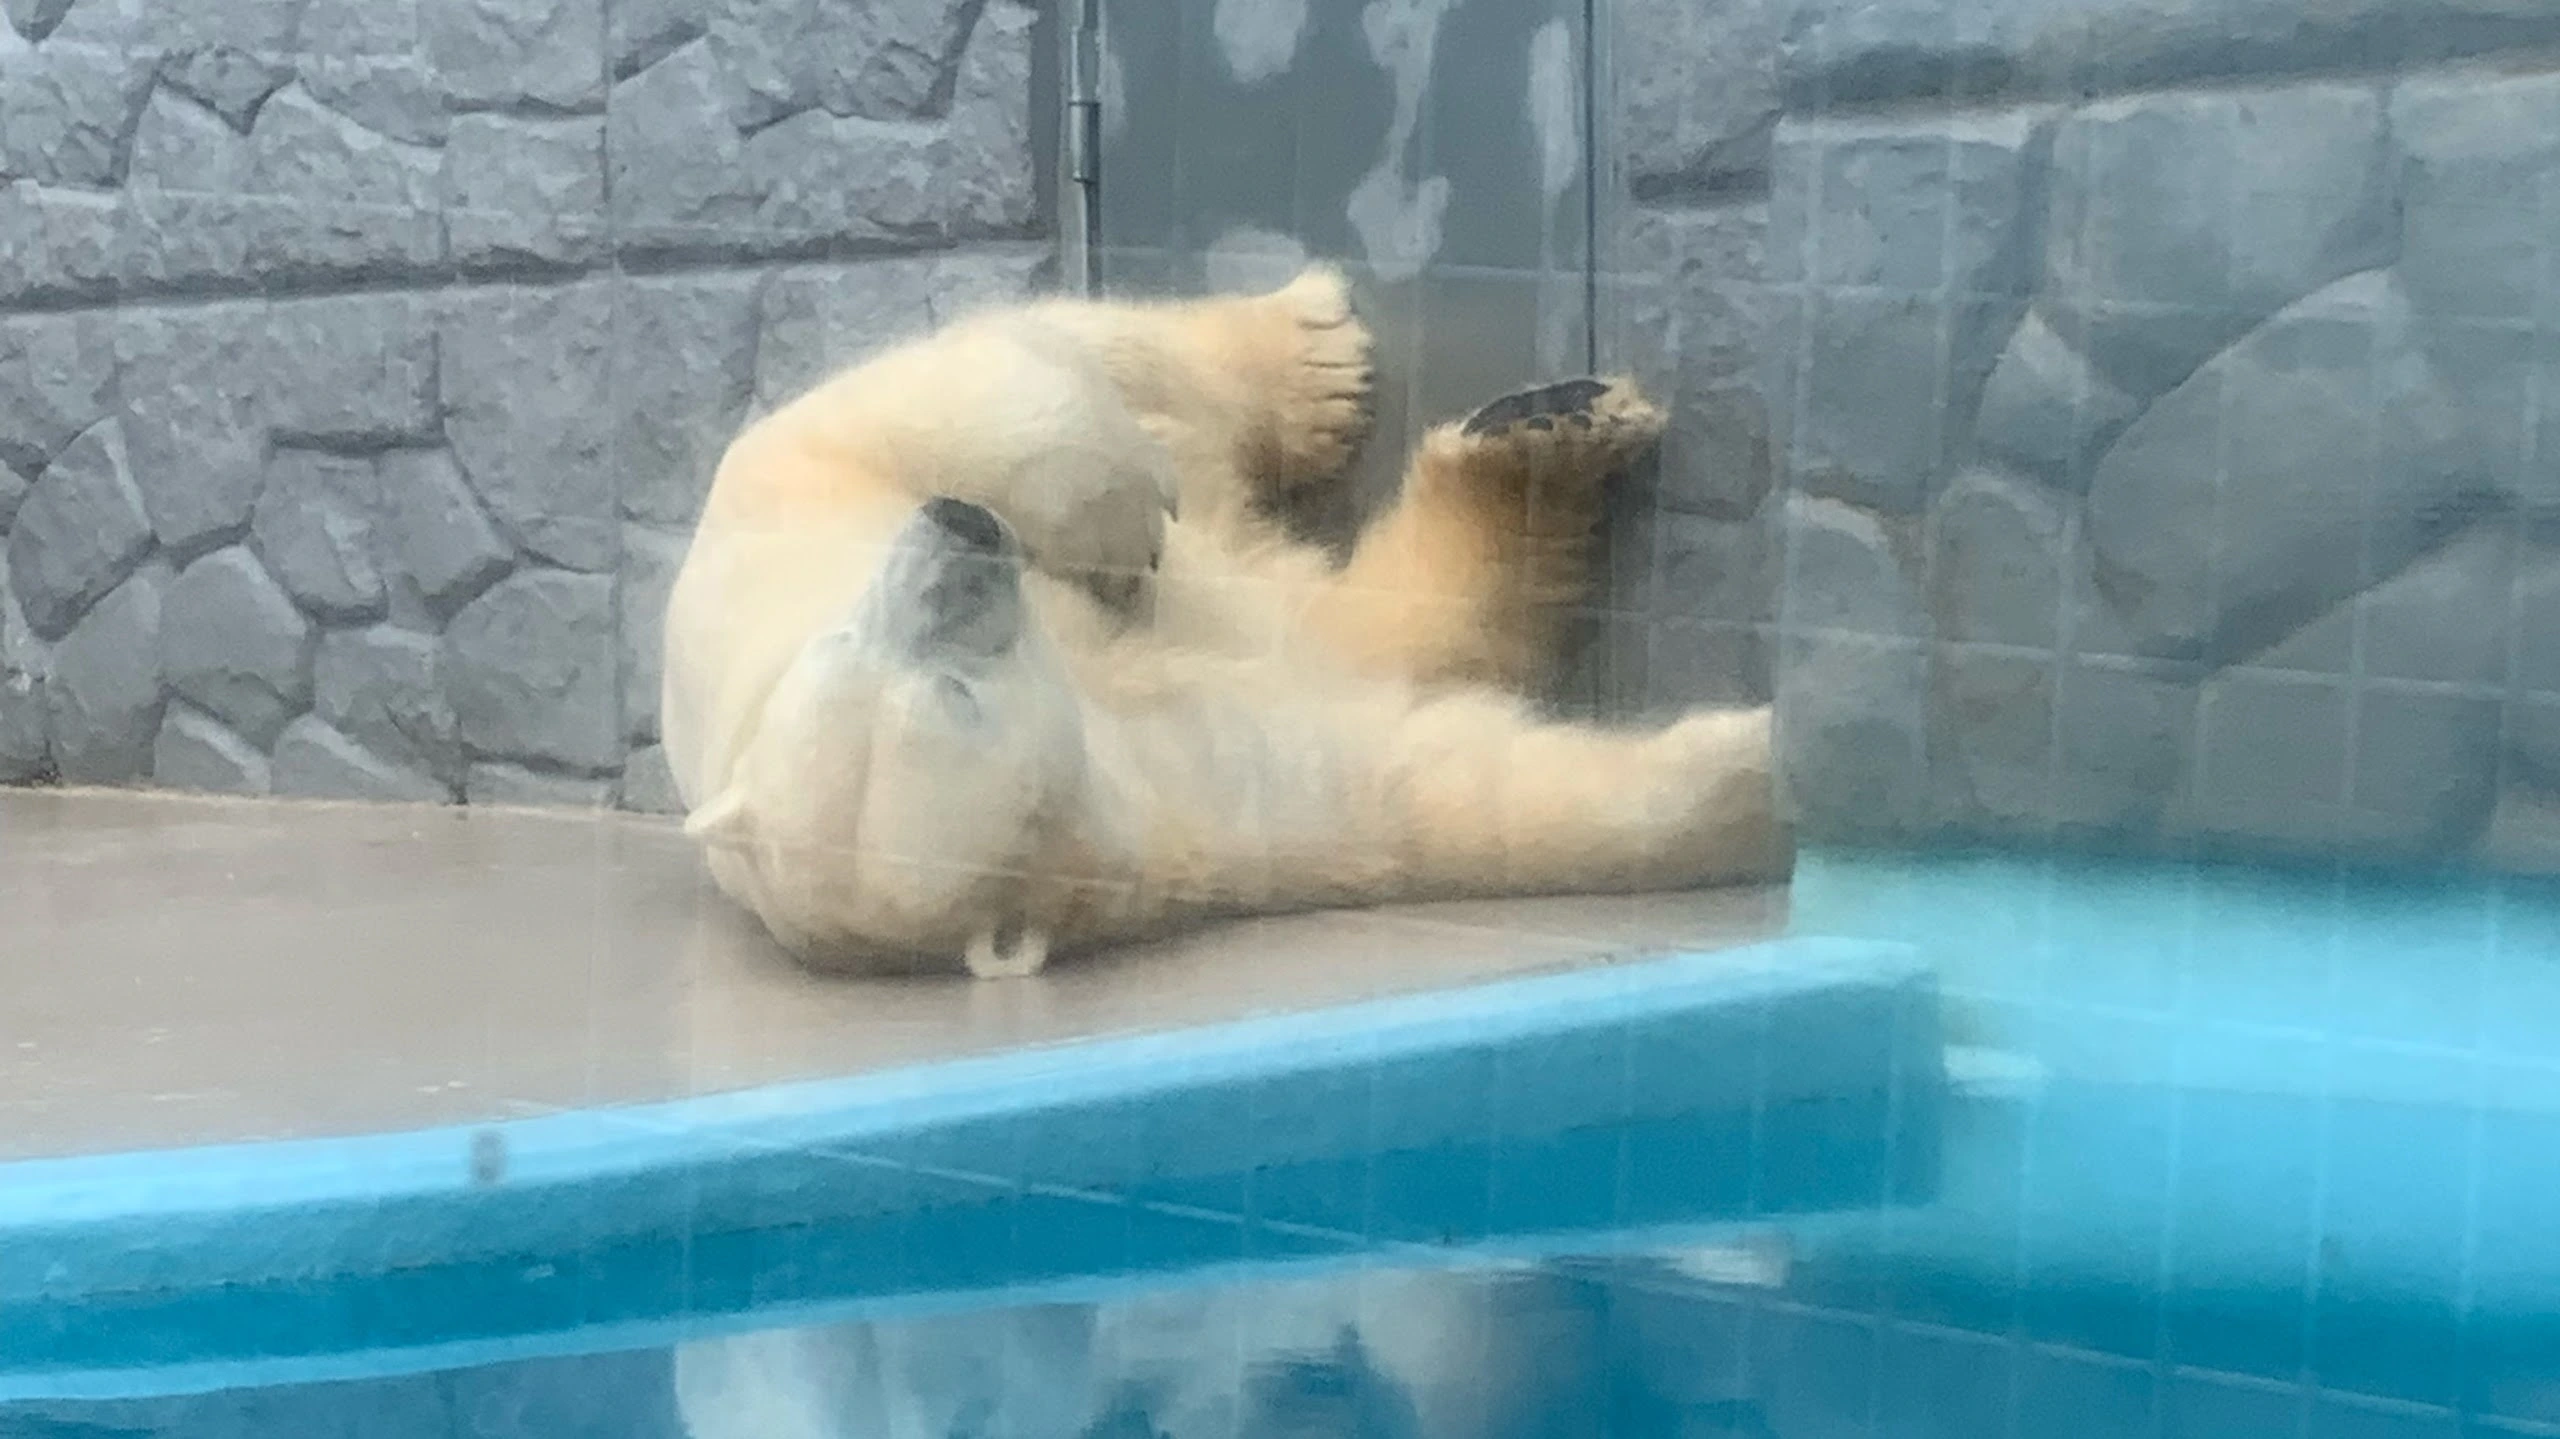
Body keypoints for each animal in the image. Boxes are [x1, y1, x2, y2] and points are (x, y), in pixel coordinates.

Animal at [659, 264, 1790, 978]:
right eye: (957, 699)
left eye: (844, 639)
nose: (963, 532)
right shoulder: (1199, 812)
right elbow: (1435, 787)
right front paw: (1767, 770)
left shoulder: (776, 531)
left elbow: (900, 416)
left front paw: (1107, 524)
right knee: (1351, 620)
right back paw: (1521, 447)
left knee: (1085, 354)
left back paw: (1341, 366)